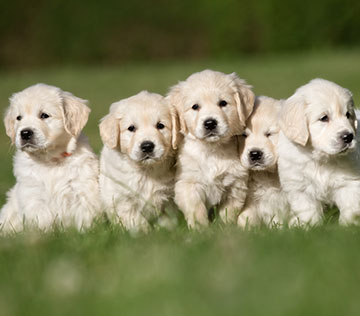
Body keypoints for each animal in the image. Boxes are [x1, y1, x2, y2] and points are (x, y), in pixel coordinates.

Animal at [1, 83, 100, 232]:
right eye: (19, 118)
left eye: (44, 115)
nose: (25, 133)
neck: (50, 161)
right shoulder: (33, 194)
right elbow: (41, 221)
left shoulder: (82, 190)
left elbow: (84, 219)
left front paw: (85, 233)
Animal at [98, 90, 179, 231]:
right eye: (131, 128)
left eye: (160, 126)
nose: (147, 146)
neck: (146, 170)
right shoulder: (123, 198)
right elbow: (136, 221)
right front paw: (143, 232)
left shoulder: (169, 198)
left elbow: (168, 221)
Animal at [167, 69, 255, 227]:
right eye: (195, 106)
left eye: (223, 103)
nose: (210, 123)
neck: (212, 150)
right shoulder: (188, 182)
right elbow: (196, 208)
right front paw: (201, 229)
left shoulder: (235, 184)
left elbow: (228, 211)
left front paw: (225, 227)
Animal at [278, 79, 360, 227]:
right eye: (324, 118)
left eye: (348, 115)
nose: (348, 137)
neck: (322, 159)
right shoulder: (300, 188)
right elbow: (307, 211)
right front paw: (308, 227)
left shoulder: (349, 183)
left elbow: (350, 208)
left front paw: (348, 227)